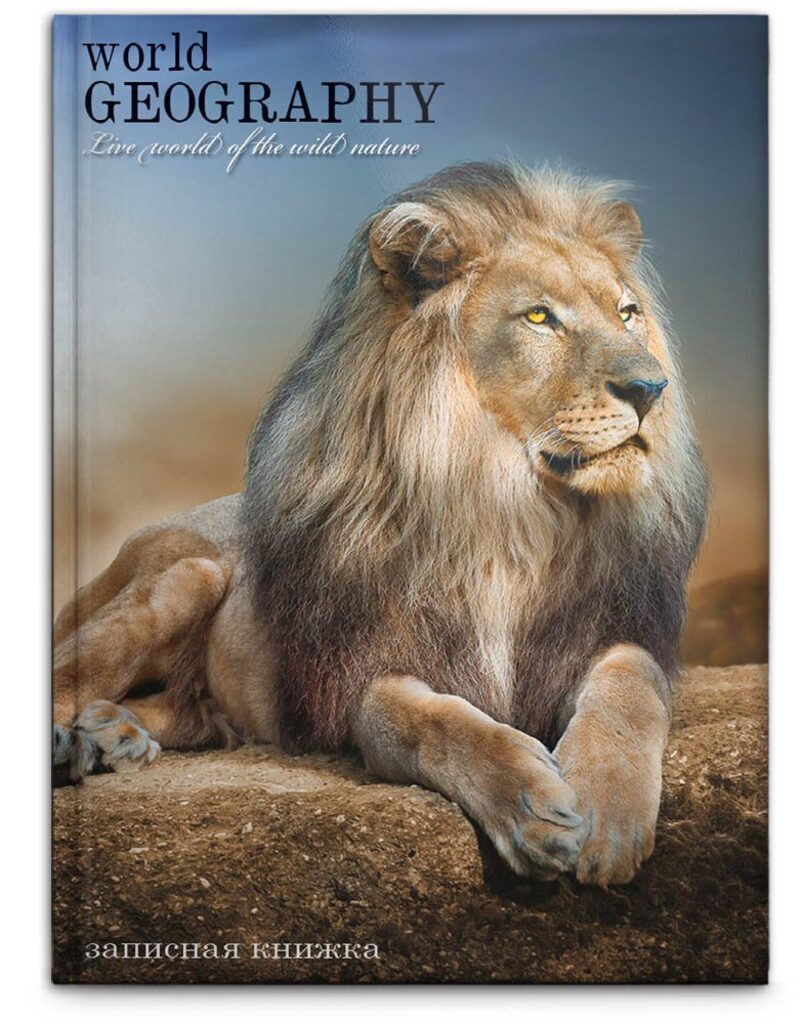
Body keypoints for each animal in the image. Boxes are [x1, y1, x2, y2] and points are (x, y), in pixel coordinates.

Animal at [53, 162, 708, 887]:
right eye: (539, 316)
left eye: (628, 313)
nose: (651, 389)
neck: (510, 511)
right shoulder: (363, 671)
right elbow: (428, 721)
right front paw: (532, 808)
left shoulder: (607, 630)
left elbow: (631, 685)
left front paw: (608, 815)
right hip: (186, 575)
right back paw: (74, 741)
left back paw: (113, 734)